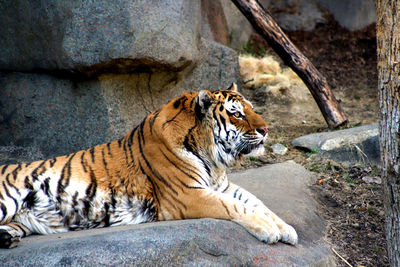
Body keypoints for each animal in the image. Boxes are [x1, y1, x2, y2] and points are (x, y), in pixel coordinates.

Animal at [0, 84, 296, 249]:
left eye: (252, 108)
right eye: (237, 114)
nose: (266, 130)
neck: (214, 162)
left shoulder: (221, 185)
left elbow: (257, 203)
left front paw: (285, 228)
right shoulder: (188, 194)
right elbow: (235, 206)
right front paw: (270, 230)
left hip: (22, 221)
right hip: (7, 200)